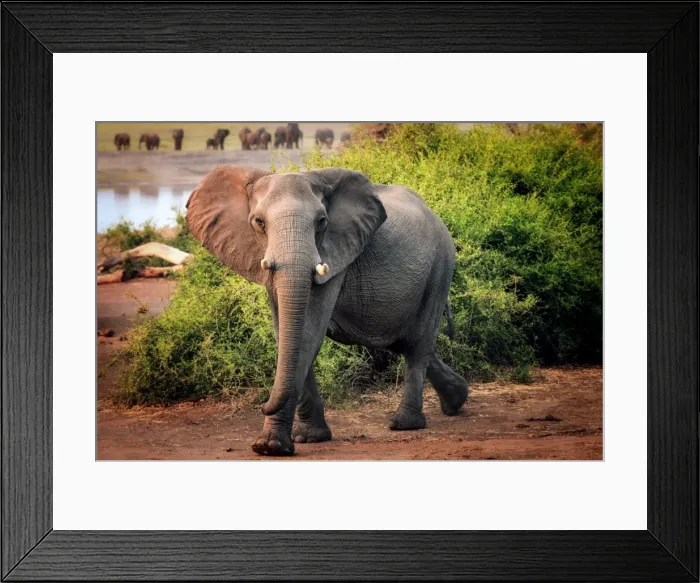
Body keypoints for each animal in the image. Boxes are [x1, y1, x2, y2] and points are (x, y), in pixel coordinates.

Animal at [185, 166, 468, 456]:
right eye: (259, 222)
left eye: (322, 221)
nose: (263, 404)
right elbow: (285, 334)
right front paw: (307, 438)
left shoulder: (335, 255)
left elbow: (307, 335)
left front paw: (271, 447)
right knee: (405, 342)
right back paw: (457, 400)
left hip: (441, 268)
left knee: (418, 344)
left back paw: (405, 424)